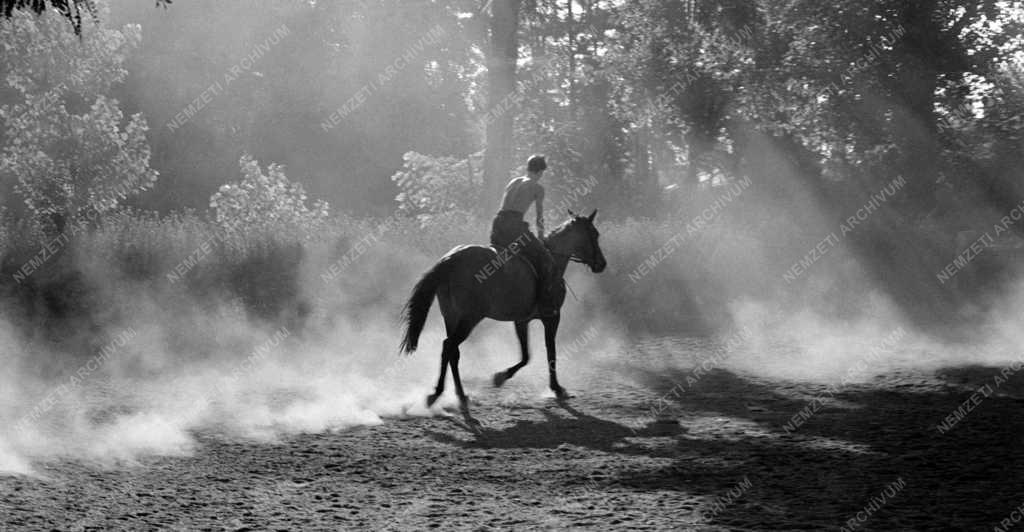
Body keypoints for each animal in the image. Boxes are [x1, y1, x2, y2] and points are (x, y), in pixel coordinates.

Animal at [399, 208, 606, 415]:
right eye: (594, 234)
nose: (602, 264)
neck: (554, 258)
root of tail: (451, 259)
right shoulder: (552, 317)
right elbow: (550, 352)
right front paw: (556, 388)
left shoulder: (521, 320)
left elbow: (526, 355)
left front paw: (501, 376)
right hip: (470, 318)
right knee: (449, 346)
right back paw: (439, 394)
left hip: (451, 316)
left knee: (452, 352)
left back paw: (459, 395)